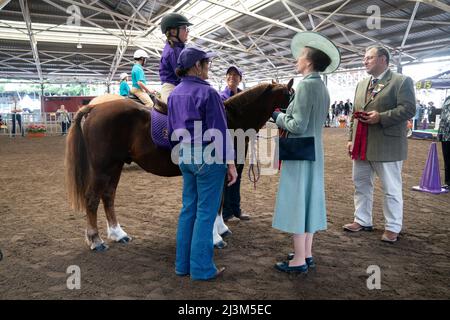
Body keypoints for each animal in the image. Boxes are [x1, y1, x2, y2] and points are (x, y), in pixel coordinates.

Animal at [65, 79, 294, 251]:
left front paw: (220, 229)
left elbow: (219, 203)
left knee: (108, 196)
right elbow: (214, 203)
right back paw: (96, 240)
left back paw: (118, 233)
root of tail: (95, 107)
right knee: (92, 198)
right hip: (102, 168)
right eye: (291, 95)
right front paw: (215, 238)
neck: (230, 120)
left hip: (115, 166)